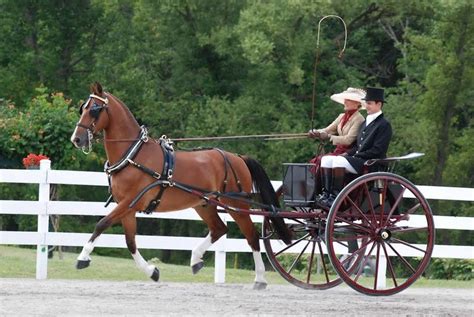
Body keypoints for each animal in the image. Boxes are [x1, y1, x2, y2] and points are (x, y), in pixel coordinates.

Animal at [70, 82, 292, 288]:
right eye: (83, 108)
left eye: (95, 109)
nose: (76, 139)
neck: (133, 155)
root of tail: (238, 157)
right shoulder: (128, 208)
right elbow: (130, 242)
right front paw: (152, 271)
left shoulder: (129, 202)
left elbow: (101, 224)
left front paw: (82, 258)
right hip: (204, 204)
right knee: (219, 229)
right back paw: (195, 260)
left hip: (236, 205)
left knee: (252, 236)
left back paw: (260, 278)